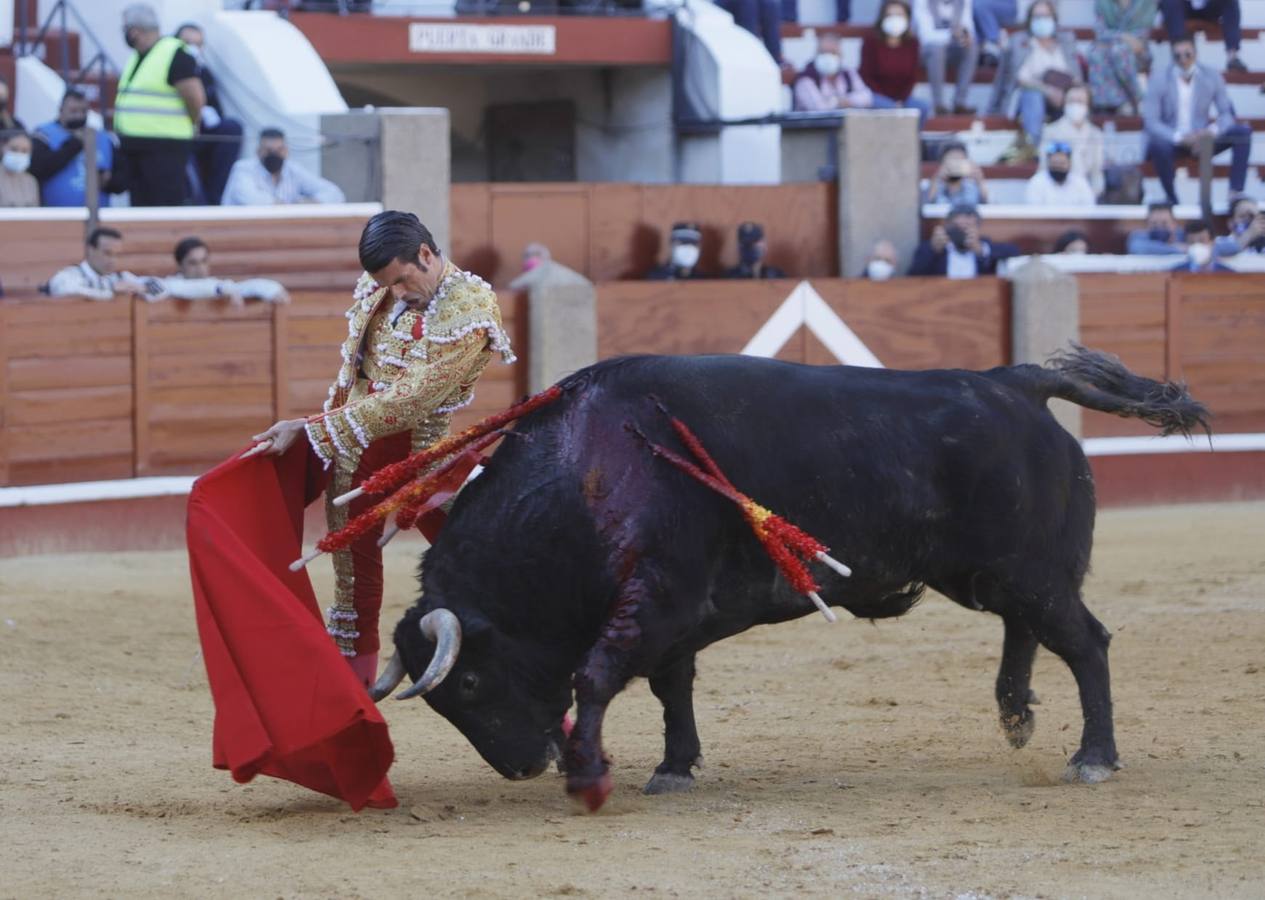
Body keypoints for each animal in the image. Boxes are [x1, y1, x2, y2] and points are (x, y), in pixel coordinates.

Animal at [371, 349, 1204, 815]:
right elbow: (671, 686)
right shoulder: (673, 612)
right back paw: (1014, 715)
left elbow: (598, 675)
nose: (523, 766)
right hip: (987, 573)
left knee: (1085, 643)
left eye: (468, 685)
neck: (588, 473)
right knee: (1024, 629)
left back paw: (1091, 756)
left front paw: (590, 776)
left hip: (1029, 572)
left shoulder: (656, 598)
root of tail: (1013, 383)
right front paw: (674, 767)